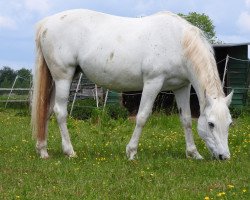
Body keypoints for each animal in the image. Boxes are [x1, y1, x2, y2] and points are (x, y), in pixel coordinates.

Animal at [31, 9, 232, 161]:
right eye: (211, 124)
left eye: (230, 123)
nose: (224, 157)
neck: (178, 41)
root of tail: (46, 23)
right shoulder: (153, 82)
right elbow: (142, 116)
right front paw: (132, 152)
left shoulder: (181, 87)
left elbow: (187, 120)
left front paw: (193, 153)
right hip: (63, 78)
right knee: (60, 112)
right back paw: (69, 151)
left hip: (57, 80)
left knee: (46, 110)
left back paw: (43, 150)